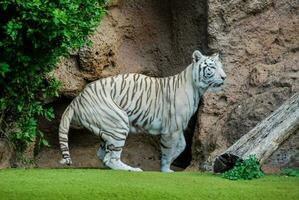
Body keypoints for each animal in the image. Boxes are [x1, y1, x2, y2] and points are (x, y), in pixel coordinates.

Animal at [59, 50, 227, 172]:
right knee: (110, 158)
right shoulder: (172, 128)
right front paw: (166, 169)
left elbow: (181, 146)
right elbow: (168, 150)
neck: (197, 89)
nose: (224, 77)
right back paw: (132, 170)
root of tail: (77, 98)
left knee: (102, 154)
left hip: (107, 127)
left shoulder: (177, 127)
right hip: (118, 123)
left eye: (221, 66)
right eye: (212, 67)